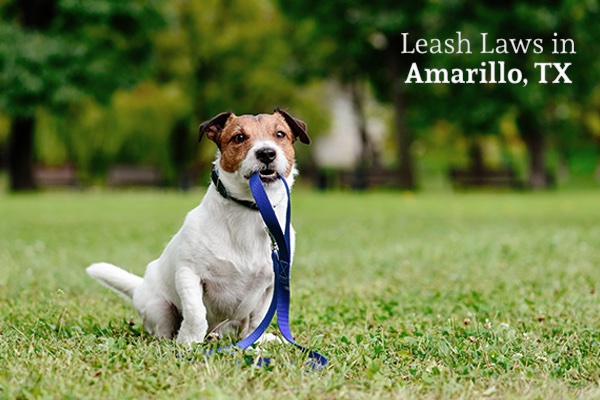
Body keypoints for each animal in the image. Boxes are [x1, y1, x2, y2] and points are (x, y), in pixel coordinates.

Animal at [87, 108, 312, 344]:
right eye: (239, 137)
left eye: (280, 134)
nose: (267, 153)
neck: (255, 209)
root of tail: (140, 286)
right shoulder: (189, 273)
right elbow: (195, 313)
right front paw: (189, 342)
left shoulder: (272, 284)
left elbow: (257, 321)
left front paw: (254, 344)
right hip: (159, 307)